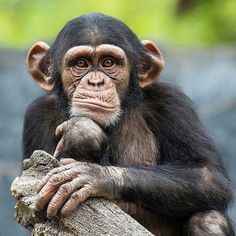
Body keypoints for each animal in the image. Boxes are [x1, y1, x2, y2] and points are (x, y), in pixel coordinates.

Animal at [23, 12, 235, 236]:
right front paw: (84, 132)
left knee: (208, 219)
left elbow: (207, 175)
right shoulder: (38, 114)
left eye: (108, 62)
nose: (96, 82)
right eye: (81, 63)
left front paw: (96, 174)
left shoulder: (171, 101)